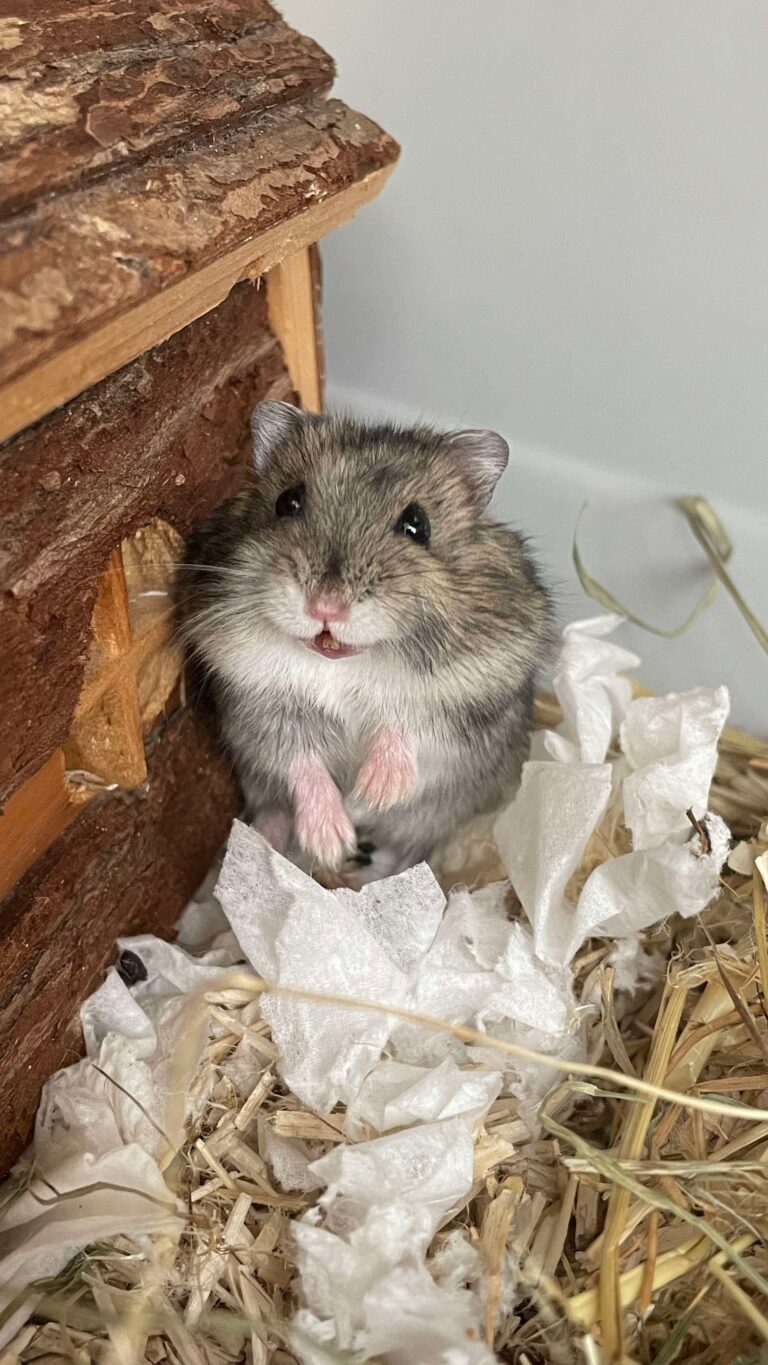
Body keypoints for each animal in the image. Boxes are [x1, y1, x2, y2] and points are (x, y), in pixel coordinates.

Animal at [180, 401, 553, 880]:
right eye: (287, 502)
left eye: (417, 525)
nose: (325, 606)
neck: (344, 661)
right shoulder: (260, 707)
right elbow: (299, 760)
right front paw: (331, 840)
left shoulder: (461, 703)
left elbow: (406, 724)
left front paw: (372, 794)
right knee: (276, 806)